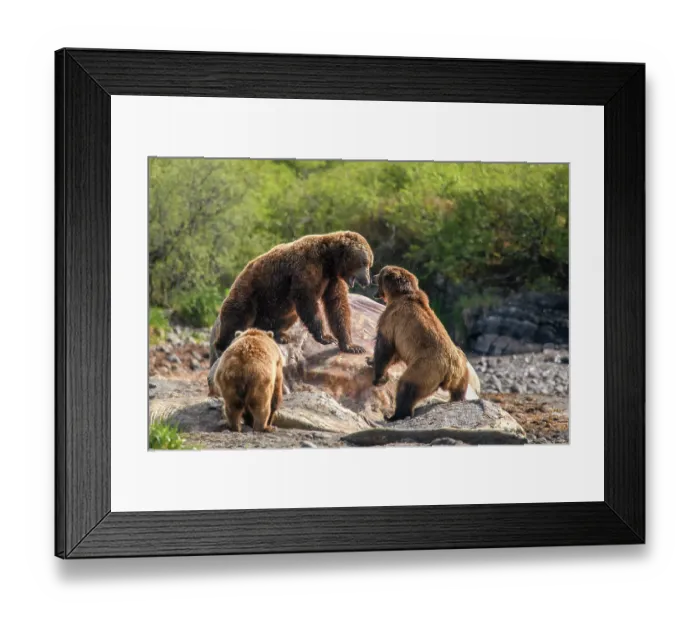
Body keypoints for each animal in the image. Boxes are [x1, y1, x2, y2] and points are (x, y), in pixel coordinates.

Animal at [211, 231, 373, 364]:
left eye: (369, 264)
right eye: (364, 263)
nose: (367, 280)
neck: (329, 262)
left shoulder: (332, 280)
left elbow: (337, 306)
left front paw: (352, 346)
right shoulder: (307, 267)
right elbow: (306, 299)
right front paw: (326, 337)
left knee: (287, 316)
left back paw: (280, 335)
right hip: (249, 293)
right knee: (238, 317)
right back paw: (222, 346)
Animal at [368, 266, 474, 422]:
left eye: (381, 273)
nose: (373, 276)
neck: (398, 295)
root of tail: (450, 369)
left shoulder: (391, 319)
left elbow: (385, 347)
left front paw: (378, 377)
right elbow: (395, 353)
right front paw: (369, 360)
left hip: (425, 367)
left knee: (407, 385)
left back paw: (395, 415)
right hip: (461, 367)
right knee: (460, 384)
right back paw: (457, 398)